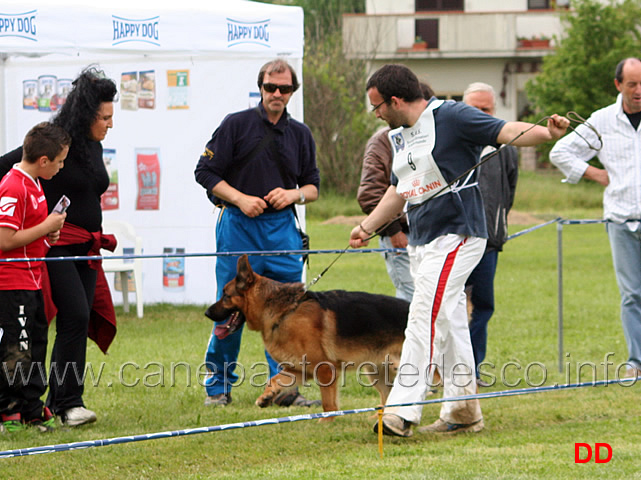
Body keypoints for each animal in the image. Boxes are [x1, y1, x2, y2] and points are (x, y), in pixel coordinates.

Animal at [205, 253, 410, 418]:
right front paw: (267, 396)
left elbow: (329, 405)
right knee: (388, 397)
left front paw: (327, 423)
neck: (284, 312)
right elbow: (274, 379)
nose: (207, 313)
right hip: (377, 371)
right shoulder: (299, 370)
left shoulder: (325, 369)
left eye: (225, 296)